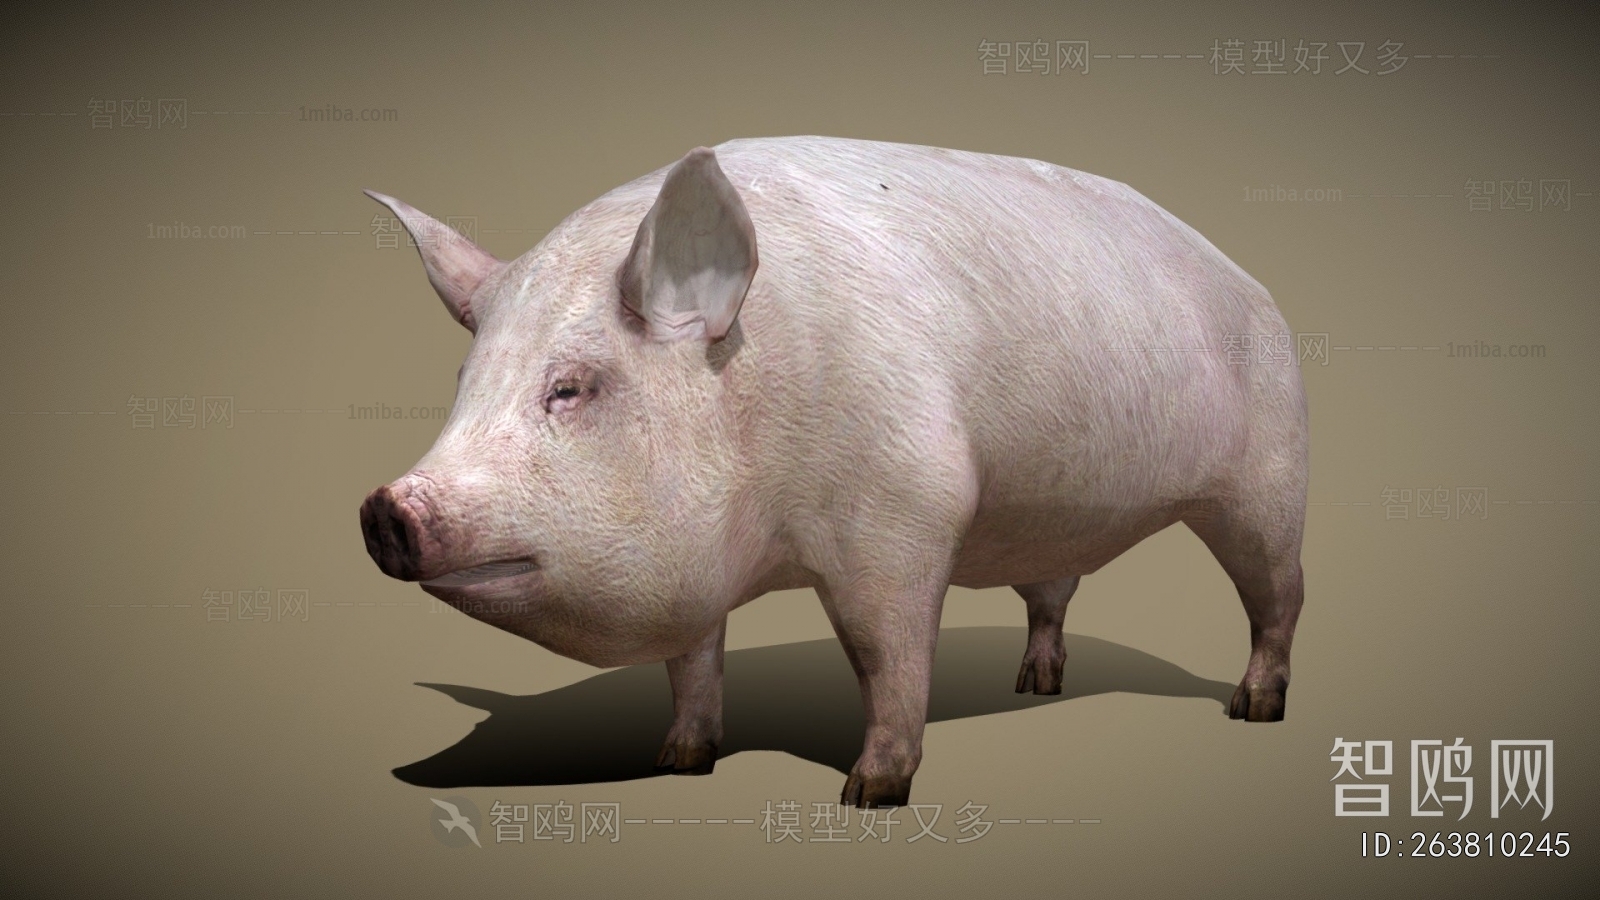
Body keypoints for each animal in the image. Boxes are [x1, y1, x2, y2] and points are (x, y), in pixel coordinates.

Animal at [359, 136, 1308, 809]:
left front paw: (868, 794)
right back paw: (1034, 684)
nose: (384, 508)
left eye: (572, 387)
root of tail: (1258, 287)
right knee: (1052, 593)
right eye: (462, 383)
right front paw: (677, 762)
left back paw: (1253, 707)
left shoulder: (910, 506)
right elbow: (693, 661)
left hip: (1270, 473)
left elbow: (882, 652)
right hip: (1059, 523)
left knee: (1280, 592)